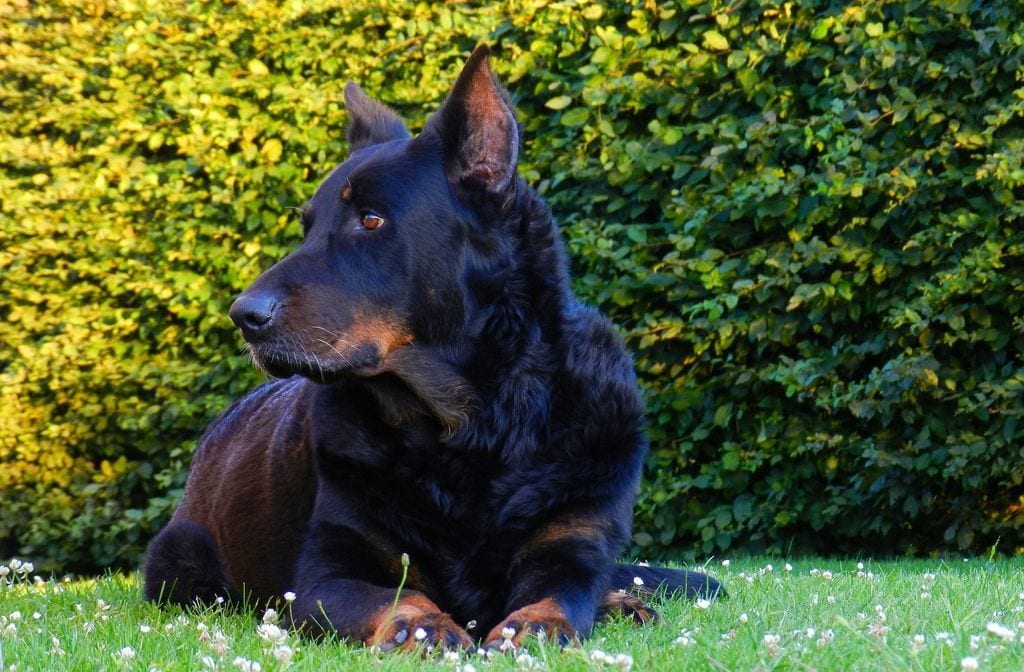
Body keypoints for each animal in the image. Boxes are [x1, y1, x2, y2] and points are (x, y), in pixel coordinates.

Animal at [142, 45, 720, 651]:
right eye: (307, 228)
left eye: (371, 220)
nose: (243, 316)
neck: (474, 425)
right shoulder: (326, 574)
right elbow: (397, 597)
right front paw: (420, 625)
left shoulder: (572, 544)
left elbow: (562, 595)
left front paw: (539, 623)